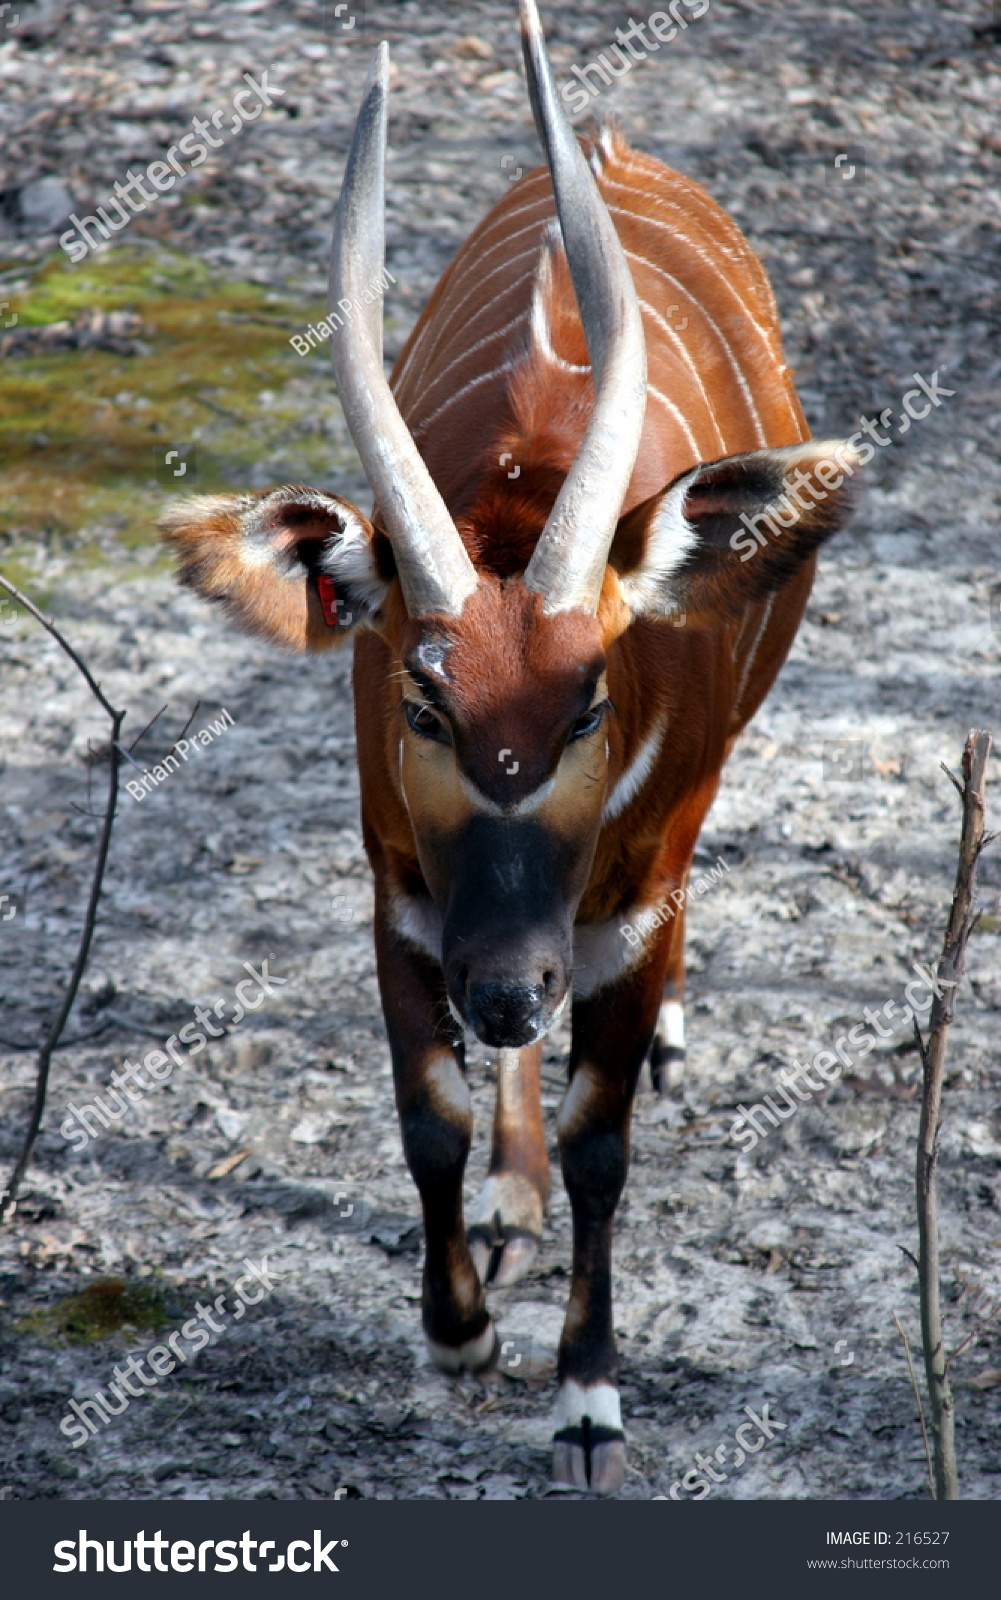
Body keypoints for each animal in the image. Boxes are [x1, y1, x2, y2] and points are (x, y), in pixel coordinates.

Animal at [163, 3, 857, 1497]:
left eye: (587, 700)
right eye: (426, 704)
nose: (503, 985)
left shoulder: (623, 906)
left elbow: (604, 1144)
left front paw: (587, 1395)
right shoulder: (409, 894)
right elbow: (428, 1107)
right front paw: (460, 1330)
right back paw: (508, 1197)